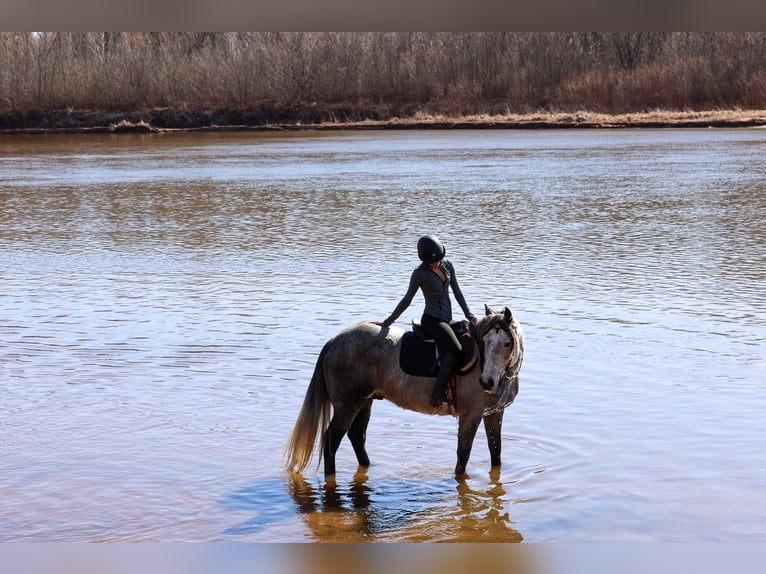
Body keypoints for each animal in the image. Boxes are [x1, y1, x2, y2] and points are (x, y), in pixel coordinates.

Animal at [284, 305, 525, 478]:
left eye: (506, 343)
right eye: (485, 341)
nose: (486, 382)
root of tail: (333, 341)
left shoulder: (494, 413)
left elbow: (496, 452)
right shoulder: (470, 415)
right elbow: (463, 456)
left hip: (365, 402)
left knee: (357, 436)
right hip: (347, 406)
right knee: (331, 440)